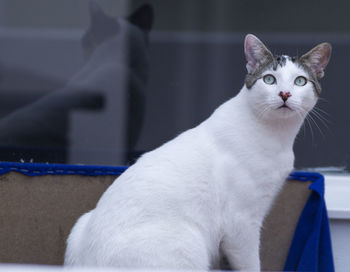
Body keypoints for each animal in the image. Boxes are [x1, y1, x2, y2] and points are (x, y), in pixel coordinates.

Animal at [63, 34, 330, 270]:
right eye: (270, 79)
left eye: (300, 81)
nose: (284, 94)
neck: (278, 136)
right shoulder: (241, 223)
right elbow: (251, 264)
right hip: (190, 242)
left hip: (80, 224)